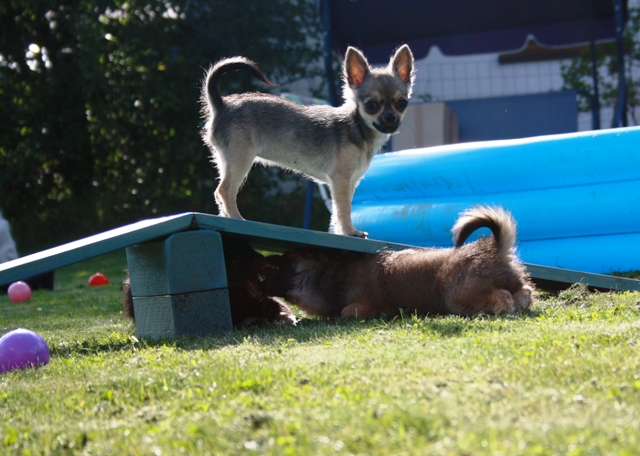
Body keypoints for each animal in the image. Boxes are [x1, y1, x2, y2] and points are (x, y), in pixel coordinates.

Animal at [200, 45, 415, 237]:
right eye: (371, 106)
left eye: (402, 104)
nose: (390, 118)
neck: (357, 128)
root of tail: (221, 104)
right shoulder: (341, 180)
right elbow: (344, 210)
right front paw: (350, 232)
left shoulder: (349, 183)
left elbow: (337, 213)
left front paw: (342, 232)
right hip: (240, 160)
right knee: (225, 190)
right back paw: (237, 219)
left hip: (227, 160)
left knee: (221, 193)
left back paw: (226, 218)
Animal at [256, 206, 534, 319]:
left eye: (287, 257)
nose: (262, 257)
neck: (329, 274)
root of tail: (494, 248)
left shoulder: (367, 304)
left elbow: (348, 311)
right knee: (524, 292)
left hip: (456, 295)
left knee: (502, 297)